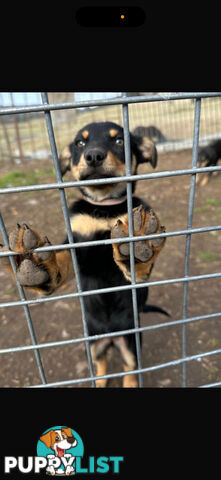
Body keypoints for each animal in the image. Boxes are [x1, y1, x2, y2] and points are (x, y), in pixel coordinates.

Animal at [0, 122, 166, 388]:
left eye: (119, 140)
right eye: (80, 143)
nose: (94, 156)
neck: (104, 207)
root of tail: (111, 337)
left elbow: (137, 269)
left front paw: (139, 245)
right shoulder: (77, 247)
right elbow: (62, 260)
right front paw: (35, 265)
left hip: (132, 343)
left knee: (130, 368)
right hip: (93, 345)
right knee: (101, 366)